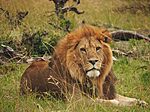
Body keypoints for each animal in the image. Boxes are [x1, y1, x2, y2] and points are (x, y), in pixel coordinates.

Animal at [19, 24, 148, 106]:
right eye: (83, 50)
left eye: (97, 48)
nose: (93, 61)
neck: (94, 80)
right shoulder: (76, 100)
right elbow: (101, 102)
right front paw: (114, 103)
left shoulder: (108, 92)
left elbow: (126, 99)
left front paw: (140, 102)